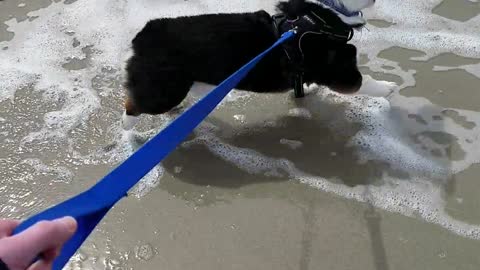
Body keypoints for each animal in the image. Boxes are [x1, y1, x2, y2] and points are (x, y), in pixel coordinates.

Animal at [121, 0, 376, 130]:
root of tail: (142, 38)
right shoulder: (338, 72)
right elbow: (365, 82)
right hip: (164, 91)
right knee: (133, 105)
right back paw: (128, 133)